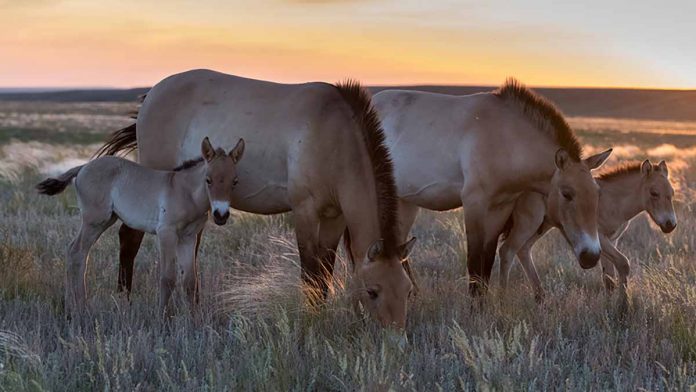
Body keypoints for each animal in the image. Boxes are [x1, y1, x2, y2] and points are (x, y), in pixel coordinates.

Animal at [37, 138, 247, 316]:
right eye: (208, 180)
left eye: (235, 181)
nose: (221, 215)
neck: (185, 193)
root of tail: (83, 167)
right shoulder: (166, 233)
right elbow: (167, 277)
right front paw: (162, 318)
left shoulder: (188, 238)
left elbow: (190, 281)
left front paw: (195, 320)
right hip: (94, 221)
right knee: (77, 251)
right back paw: (79, 307)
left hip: (106, 220)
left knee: (75, 252)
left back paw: (71, 307)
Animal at [95, 69, 416, 330]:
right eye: (373, 291)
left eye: (408, 290)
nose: (395, 338)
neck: (333, 134)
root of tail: (152, 94)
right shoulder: (305, 212)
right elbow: (310, 273)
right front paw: (310, 322)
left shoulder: (334, 217)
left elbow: (324, 272)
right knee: (129, 239)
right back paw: (124, 300)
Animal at [372, 78, 612, 296]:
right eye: (567, 194)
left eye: (597, 194)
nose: (591, 257)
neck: (507, 139)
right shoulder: (474, 204)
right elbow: (474, 262)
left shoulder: (501, 207)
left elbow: (486, 261)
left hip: (406, 202)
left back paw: (414, 293)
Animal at [498, 160, 676, 300]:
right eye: (654, 193)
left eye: (672, 193)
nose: (670, 225)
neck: (614, 201)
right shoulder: (600, 238)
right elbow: (623, 264)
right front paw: (623, 308)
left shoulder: (612, 240)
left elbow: (609, 278)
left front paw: (611, 307)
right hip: (529, 223)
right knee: (507, 250)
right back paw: (503, 300)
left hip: (542, 226)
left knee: (523, 250)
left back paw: (540, 297)